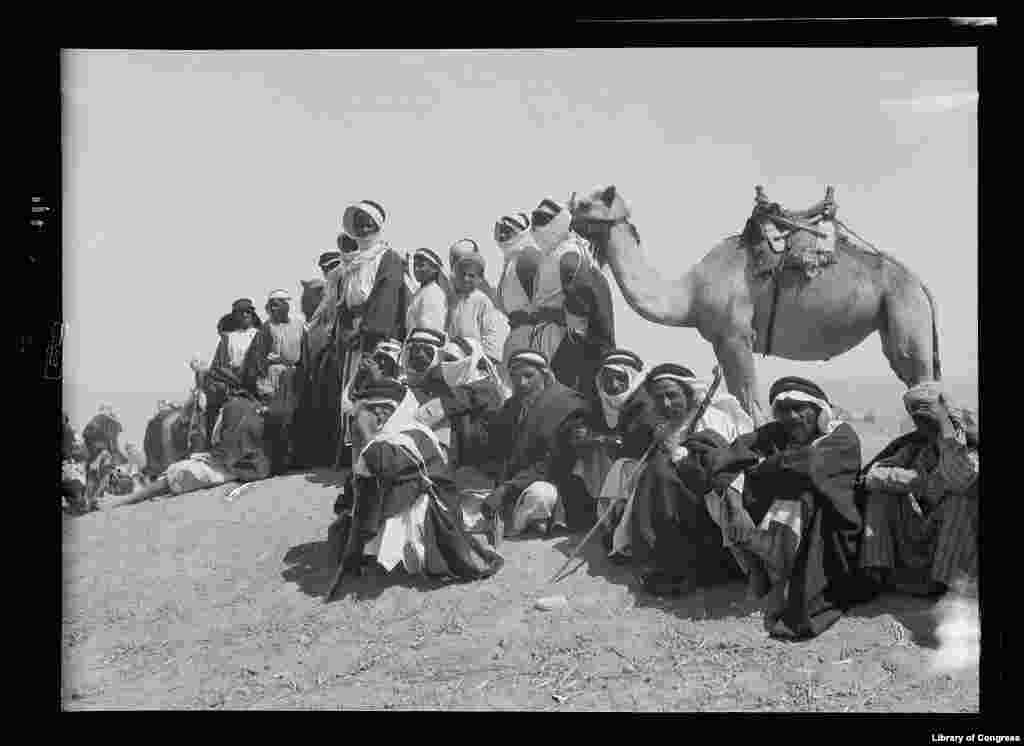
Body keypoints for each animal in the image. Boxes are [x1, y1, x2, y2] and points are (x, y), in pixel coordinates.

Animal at [573, 183, 937, 421]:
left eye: (587, 205)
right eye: (577, 200)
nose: (568, 209)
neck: (689, 293)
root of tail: (921, 284)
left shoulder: (736, 335)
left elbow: (751, 406)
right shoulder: (721, 341)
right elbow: (742, 401)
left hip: (906, 310)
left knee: (920, 379)